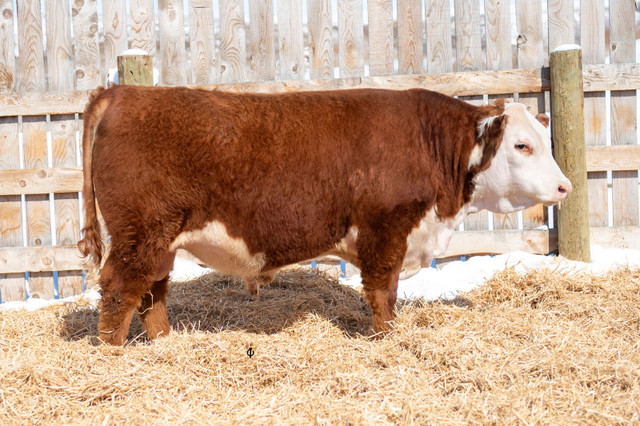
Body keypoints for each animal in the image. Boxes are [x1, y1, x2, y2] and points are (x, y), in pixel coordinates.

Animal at [79, 85, 552, 344]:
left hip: (159, 240)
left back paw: (165, 344)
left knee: (152, 292)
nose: (562, 186)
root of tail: (122, 92)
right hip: (140, 232)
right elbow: (383, 294)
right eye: (522, 144)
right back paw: (113, 353)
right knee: (119, 289)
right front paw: (386, 339)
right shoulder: (385, 231)